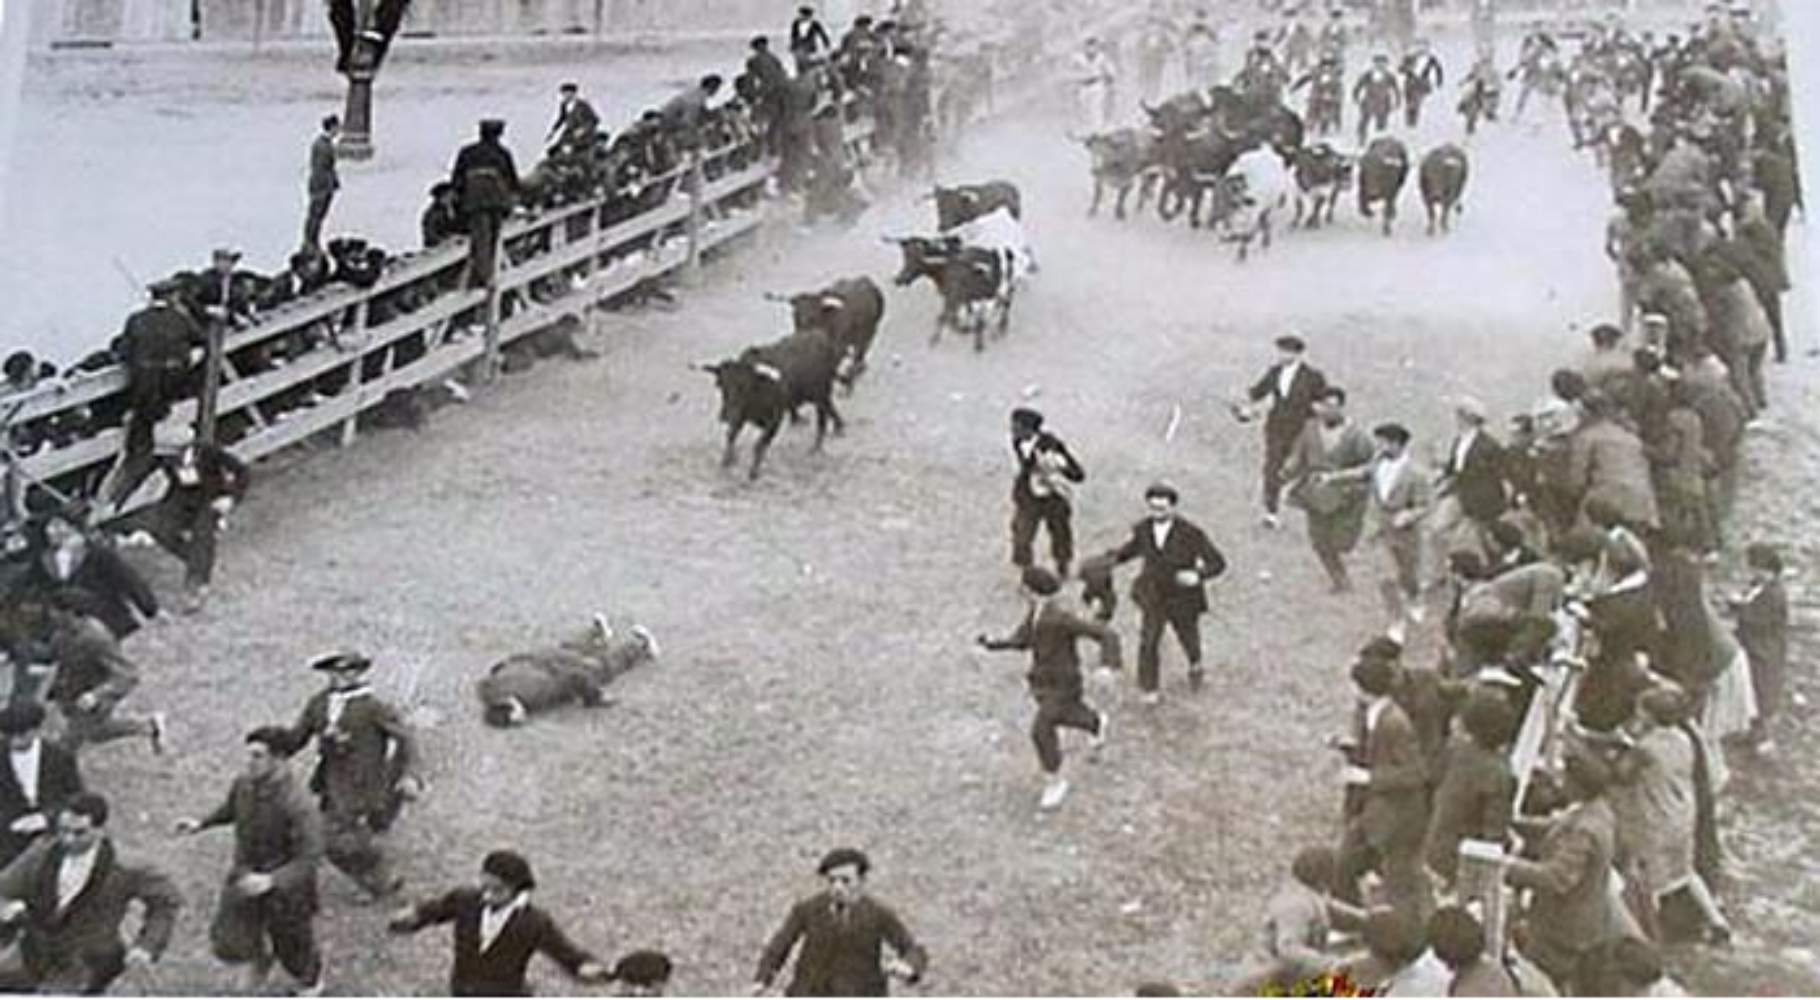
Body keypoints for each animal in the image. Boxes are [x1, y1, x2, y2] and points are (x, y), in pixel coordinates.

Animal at [695, 327, 844, 480]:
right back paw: (836, 428)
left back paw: (817, 447)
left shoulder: (774, 420)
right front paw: (727, 460)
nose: (724, 415)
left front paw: (753, 472)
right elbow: (731, 435)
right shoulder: (740, 417)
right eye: (720, 384)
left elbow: (758, 445)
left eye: (745, 386)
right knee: (829, 409)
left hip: (821, 394)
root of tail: (819, 336)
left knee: (822, 420)